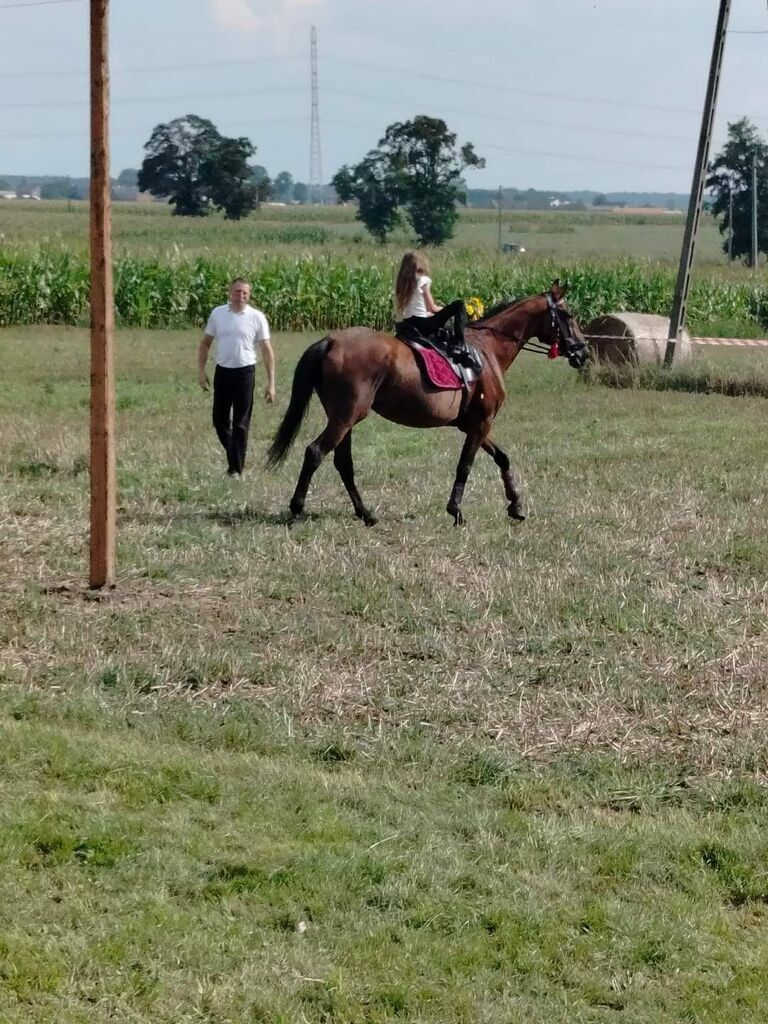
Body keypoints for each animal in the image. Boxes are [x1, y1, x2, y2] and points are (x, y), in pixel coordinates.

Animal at [268, 280, 585, 524]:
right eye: (567, 315)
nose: (582, 352)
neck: (488, 349)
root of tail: (332, 341)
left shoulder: (474, 424)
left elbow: (502, 457)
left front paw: (515, 505)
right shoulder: (482, 423)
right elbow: (465, 465)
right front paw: (456, 511)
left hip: (343, 418)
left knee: (342, 462)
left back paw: (365, 513)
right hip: (346, 417)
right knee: (315, 452)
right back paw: (297, 509)